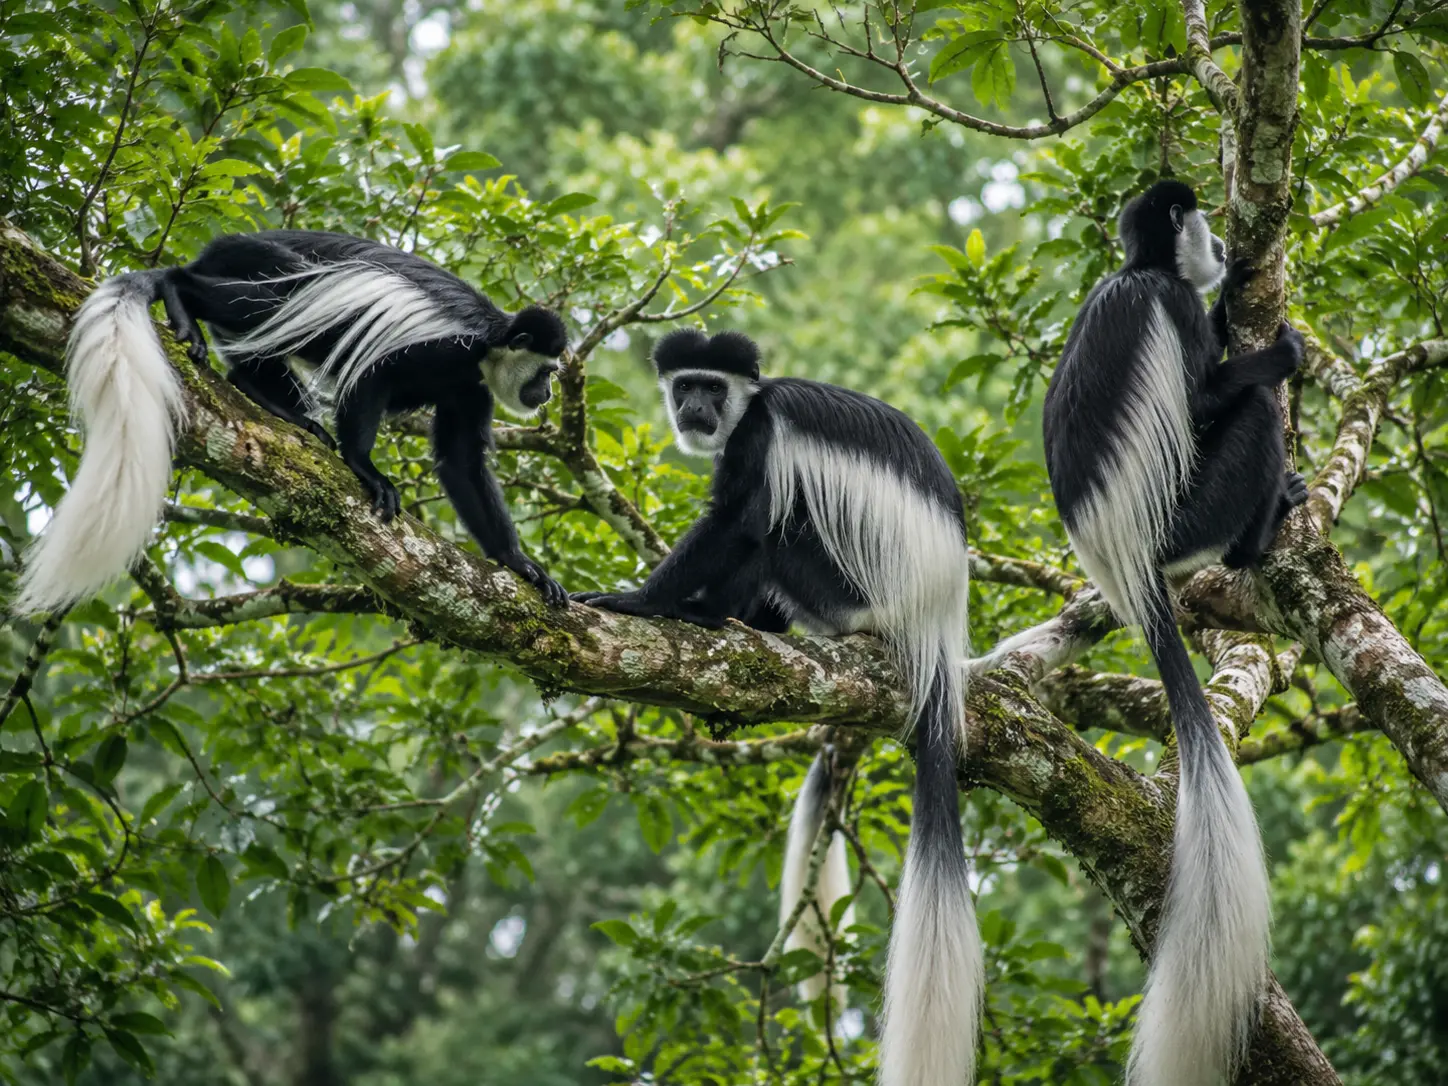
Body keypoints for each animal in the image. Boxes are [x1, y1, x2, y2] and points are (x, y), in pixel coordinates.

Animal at [14, 230, 569, 615]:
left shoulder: (470, 389)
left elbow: (460, 461)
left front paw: (521, 565)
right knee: (287, 301)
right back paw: (178, 291)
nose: (545, 395)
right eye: (546, 371)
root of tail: (221, 245)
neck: (487, 344)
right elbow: (371, 376)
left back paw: (280, 407)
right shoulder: (439, 346)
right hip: (267, 267)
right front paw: (366, 470)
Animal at [573, 328, 982, 1086]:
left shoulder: (759, 439)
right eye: (685, 386)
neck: (749, 404)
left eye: (713, 388)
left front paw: (639, 600)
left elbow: (737, 521)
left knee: (771, 533)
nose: (695, 409)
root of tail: (935, 625)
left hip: (844, 591)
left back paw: (708, 616)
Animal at [1042, 178, 1307, 1086]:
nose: (1225, 248)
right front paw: (1276, 351)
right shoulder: (1170, 308)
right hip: (1189, 508)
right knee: (1248, 417)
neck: (1141, 270)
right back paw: (1259, 534)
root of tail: (1128, 564)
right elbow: (1202, 396)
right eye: (1198, 227)